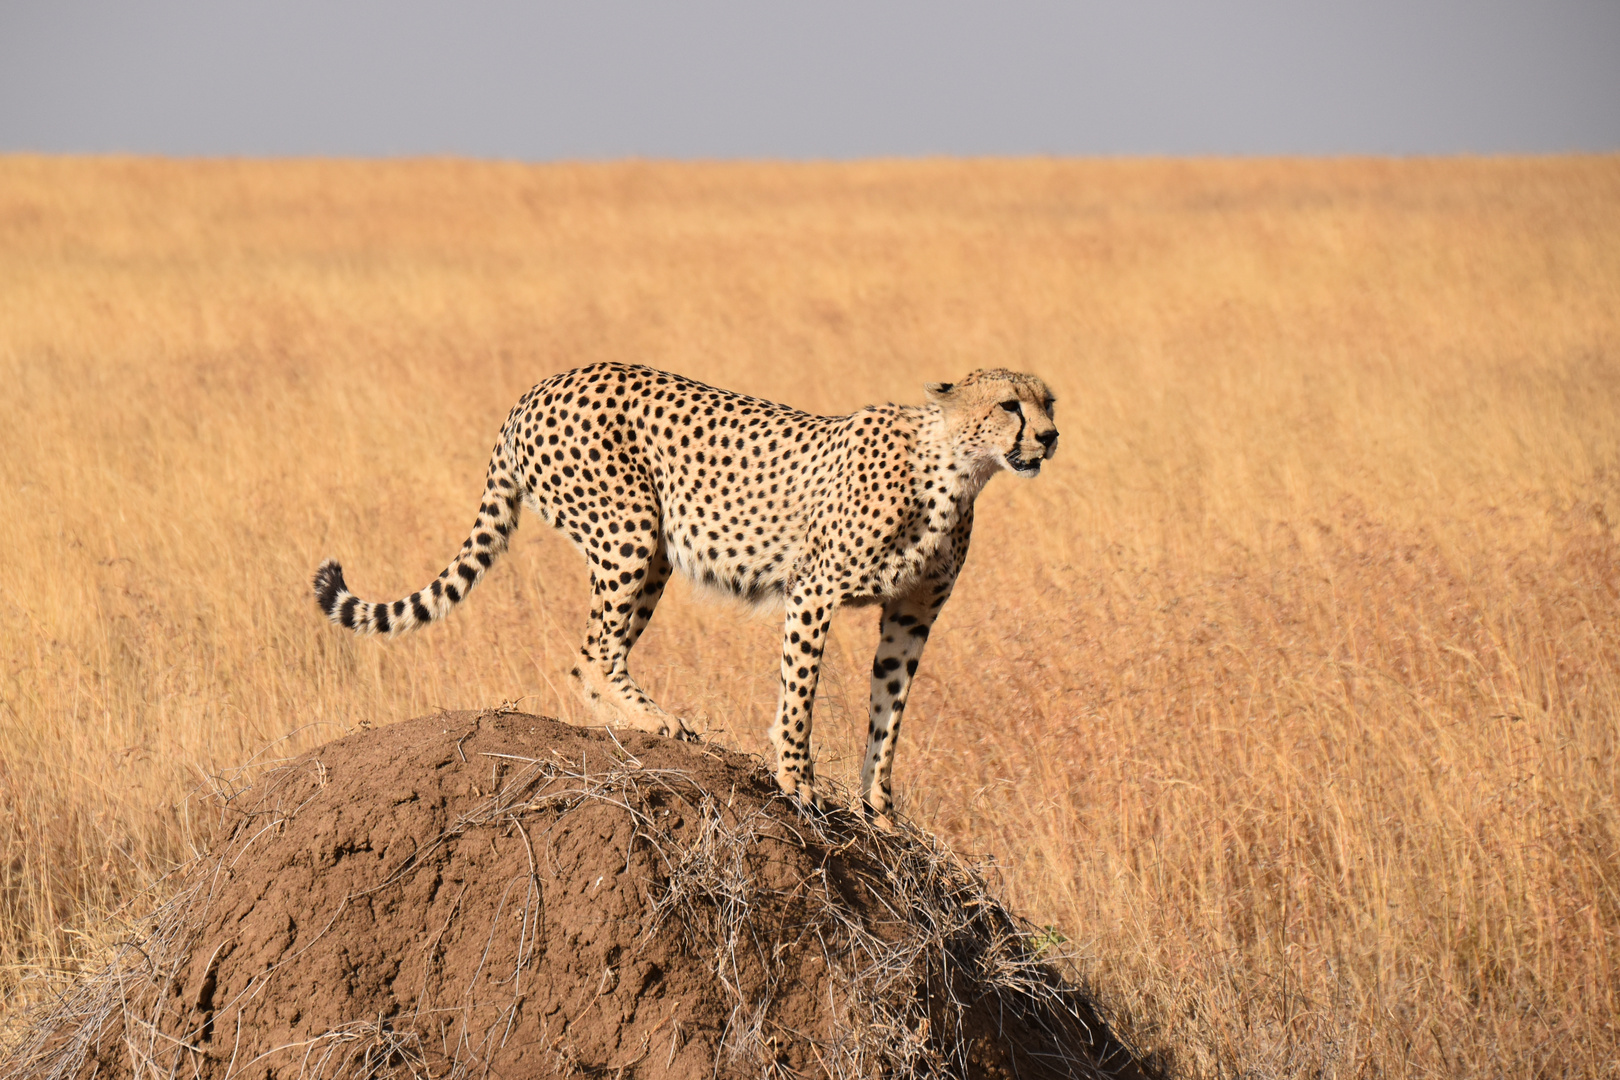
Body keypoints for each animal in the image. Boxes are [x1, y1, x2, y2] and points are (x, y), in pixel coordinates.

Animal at [314, 362, 1056, 819]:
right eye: (1009, 405)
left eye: (1048, 402)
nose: (1049, 437)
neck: (956, 469)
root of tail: (542, 384)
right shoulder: (813, 592)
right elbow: (799, 698)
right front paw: (797, 780)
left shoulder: (911, 617)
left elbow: (889, 715)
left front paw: (881, 812)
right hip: (630, 527)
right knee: (591, 652)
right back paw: (653, 722)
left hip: (652, 553)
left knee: (600, 651)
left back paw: (637, 721)